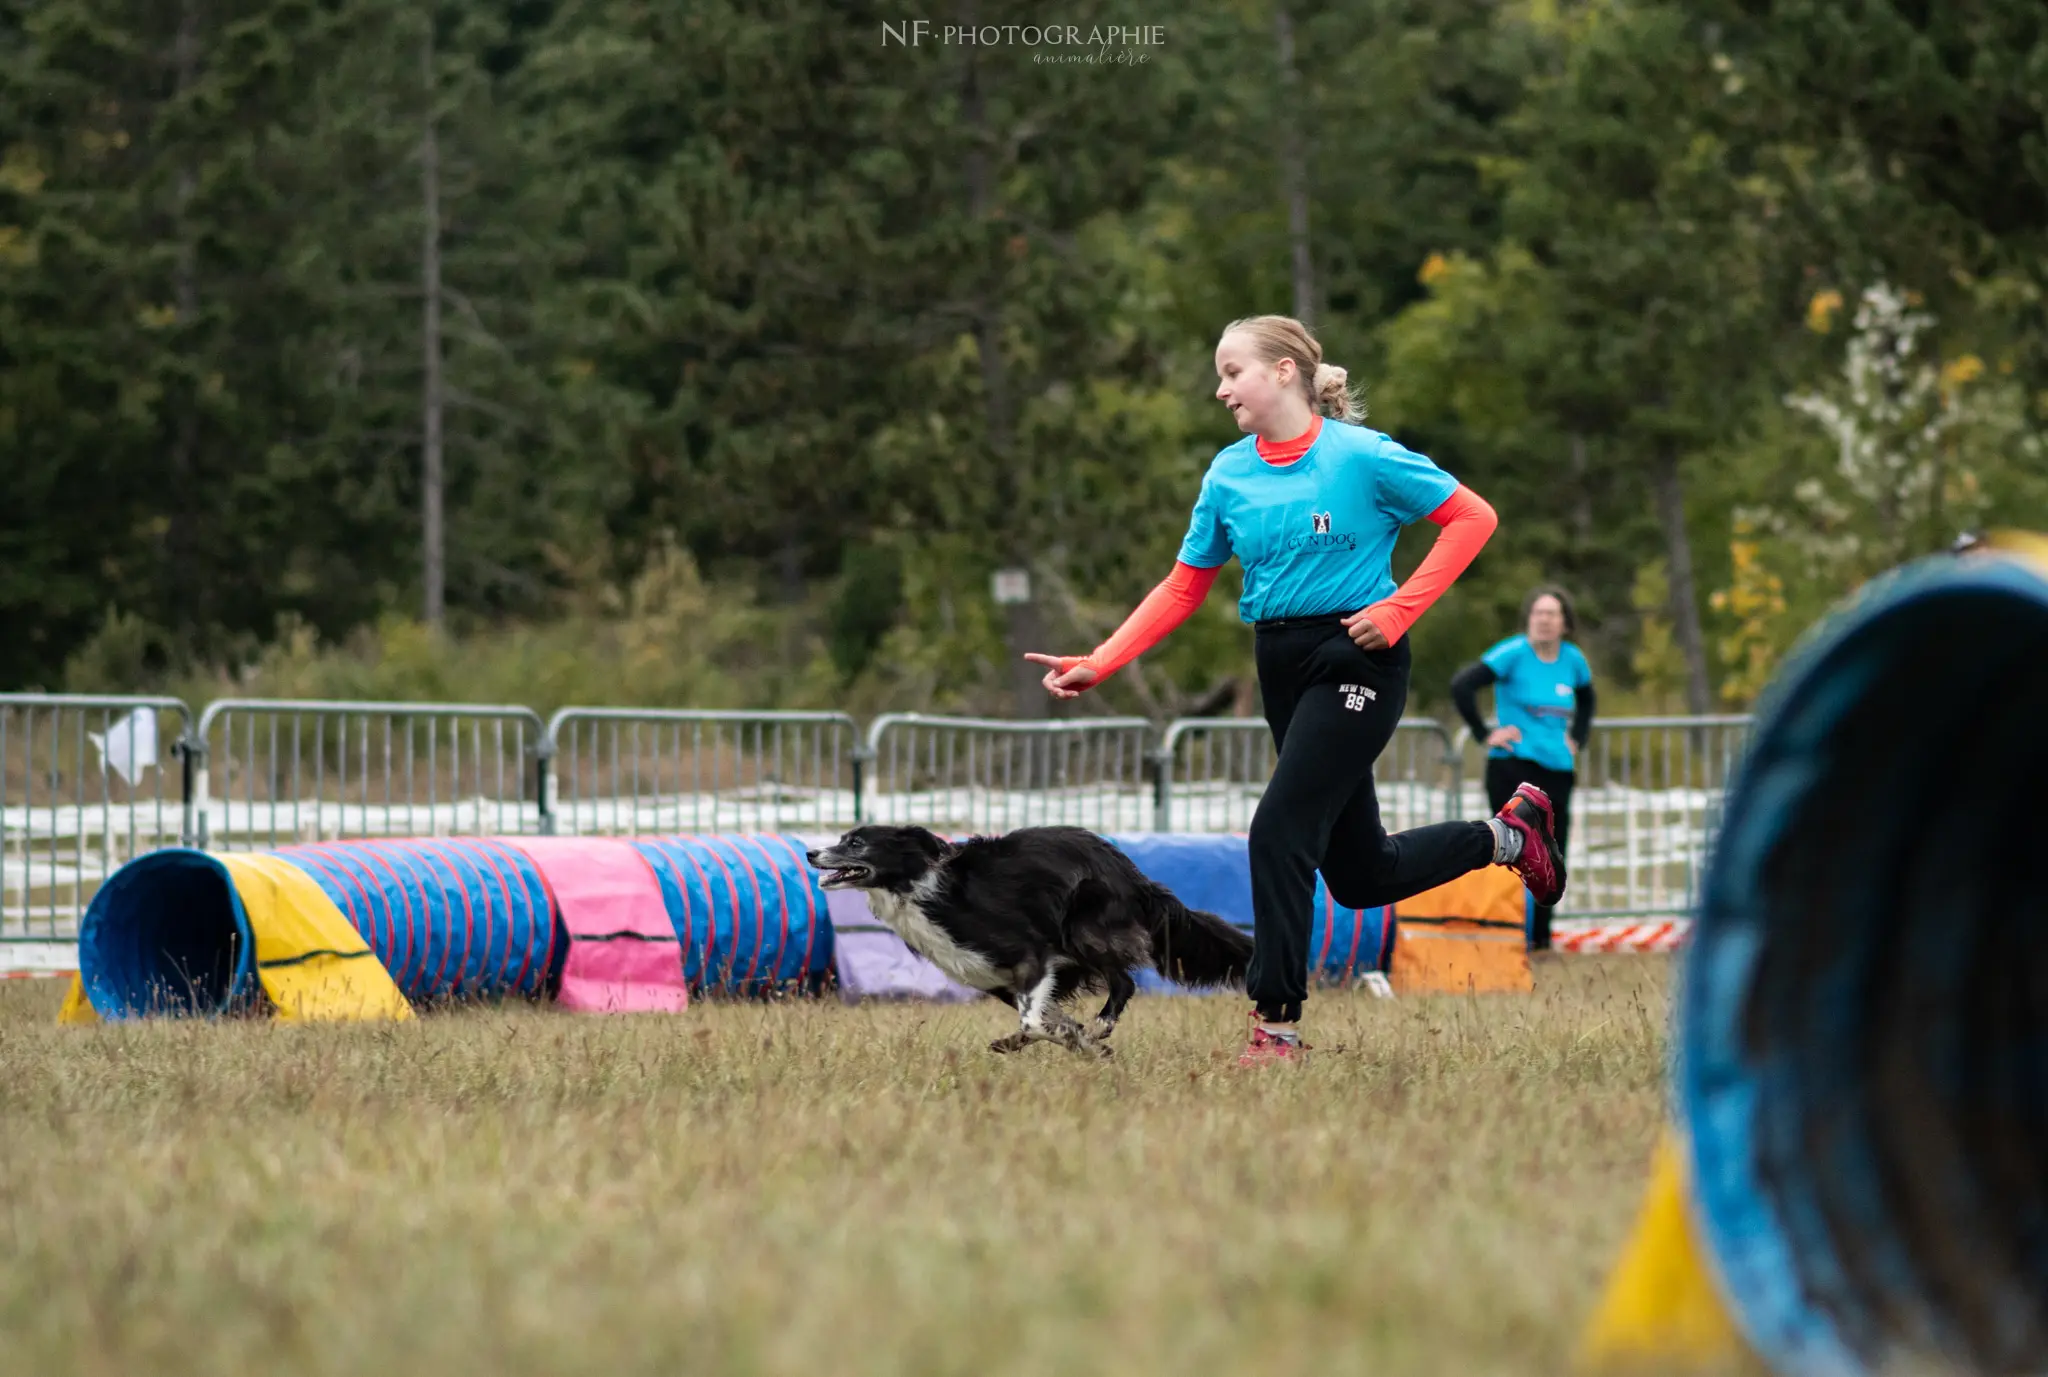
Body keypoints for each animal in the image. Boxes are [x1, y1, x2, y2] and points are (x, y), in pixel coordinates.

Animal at [798, 823, 1245, 1057]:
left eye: (856, 842)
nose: (809, 853)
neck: (915, 886)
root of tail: (1132, 872)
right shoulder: (995, 978)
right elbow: (1045, 1017)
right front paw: (1074, 1041)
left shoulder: (1032, 955)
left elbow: (1034, 1019)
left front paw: (1079, 1039)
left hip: (1083, 927)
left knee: (1124, 981)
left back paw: (1101, 1024)